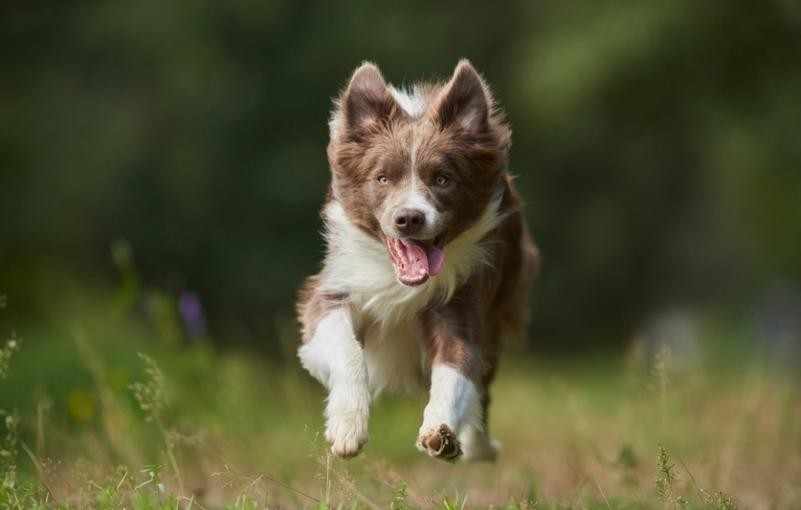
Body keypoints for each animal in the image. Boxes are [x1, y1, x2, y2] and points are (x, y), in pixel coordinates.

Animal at [296, 59, 536, 462]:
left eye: (442, 178)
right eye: (382, 178)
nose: (409, 218)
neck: (400, 281)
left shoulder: (464, 304)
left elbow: (455, 370)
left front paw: (440, 432)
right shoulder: (331, 291)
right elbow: (348, 351)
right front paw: (347, 428)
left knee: (482, 388)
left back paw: (479, 447)